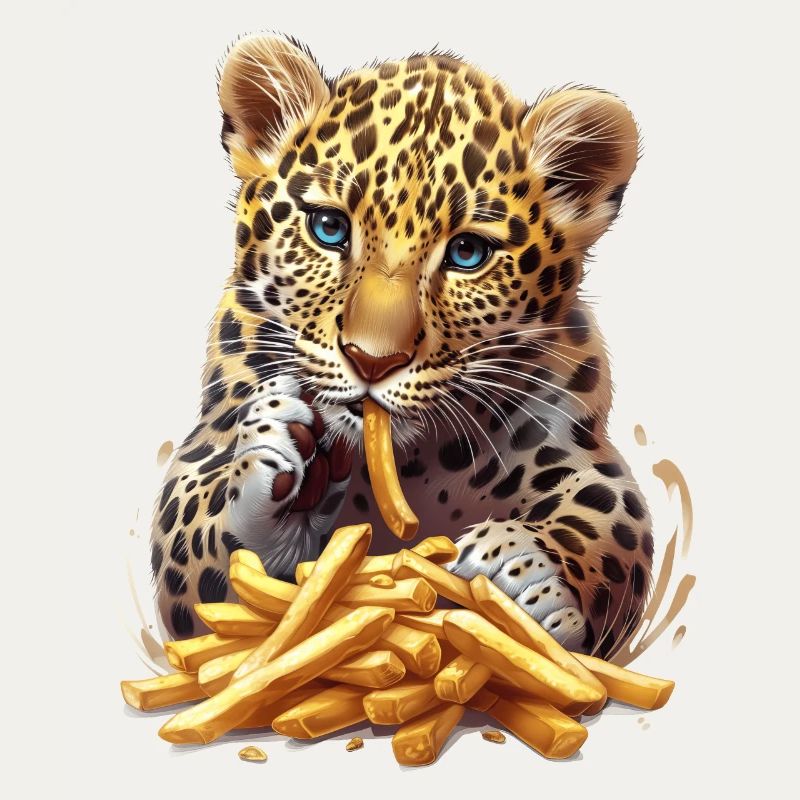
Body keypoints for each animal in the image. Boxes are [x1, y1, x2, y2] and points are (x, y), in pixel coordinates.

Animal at [149, 34, 654, 660]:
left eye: (467, 253)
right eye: (329, 227)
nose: (372, 360)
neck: (412, 463)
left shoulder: (576, 443)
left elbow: (612, 518)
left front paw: (525, 569)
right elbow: (192, 545)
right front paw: (274, 446)